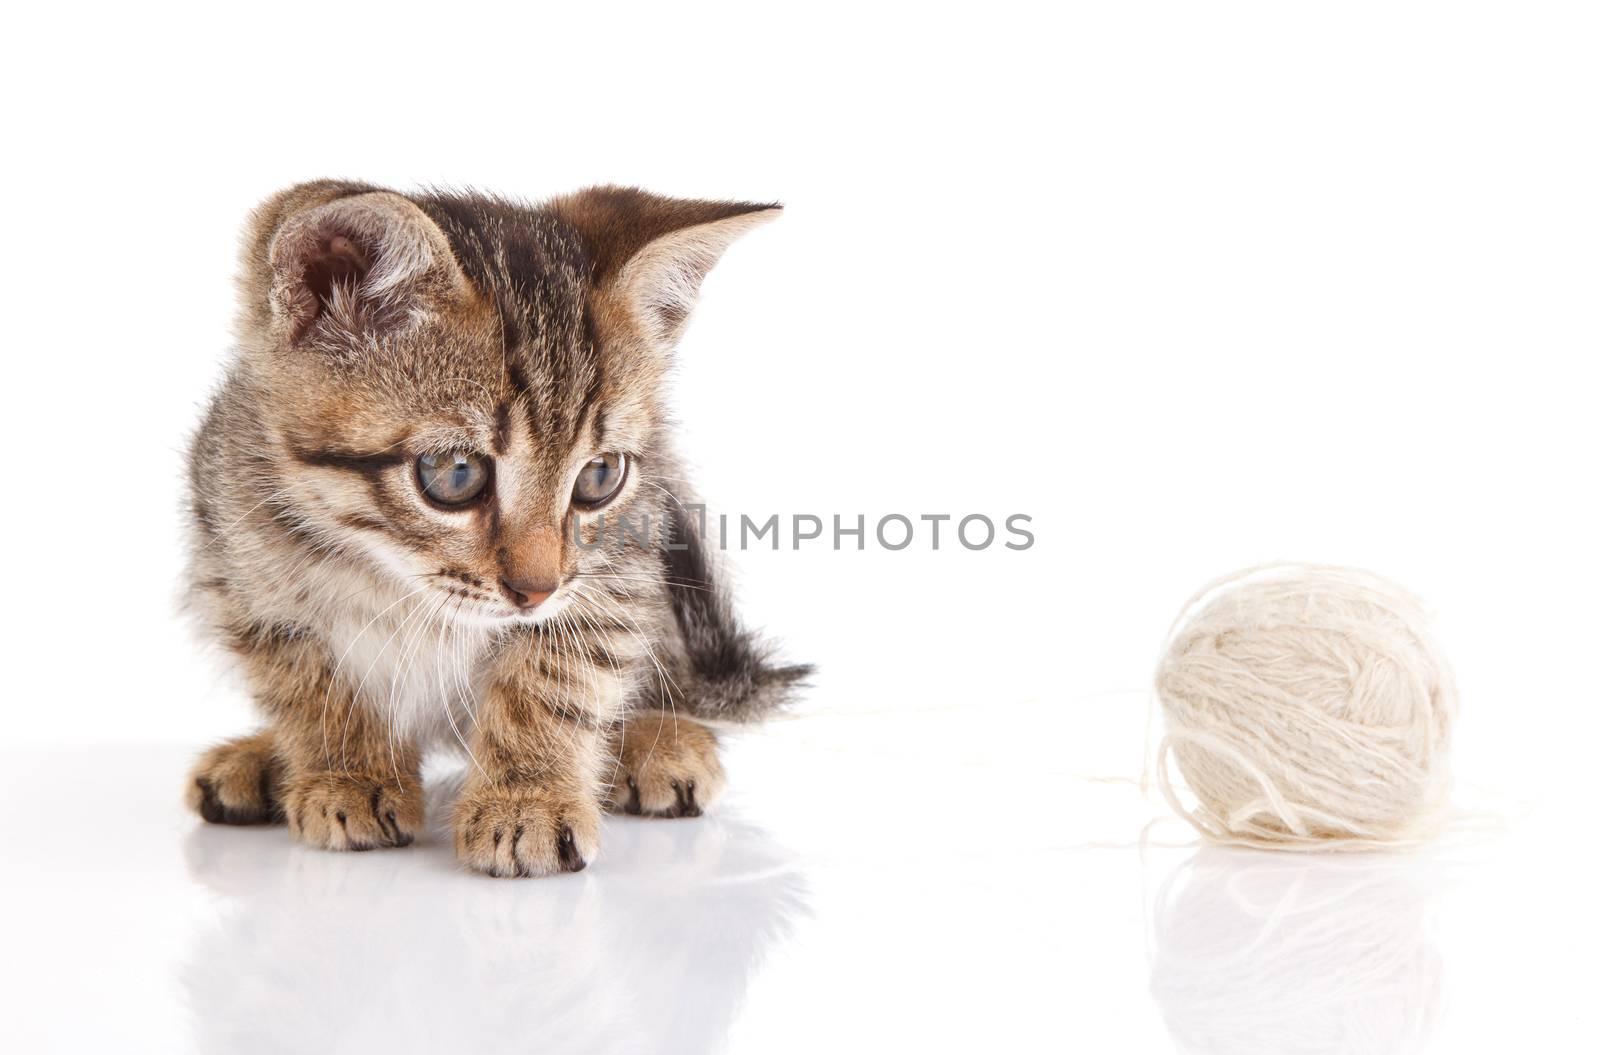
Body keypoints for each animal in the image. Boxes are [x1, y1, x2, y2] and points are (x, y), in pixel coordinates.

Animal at [185, 181, 806, 877]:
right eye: (454, 473)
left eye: (600, 476)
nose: (535, 591)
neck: (391, 572)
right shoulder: (238, 569)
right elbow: (305, 682)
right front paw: (350, 774)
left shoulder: (614, 570)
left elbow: (559, 676)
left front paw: (528, 798)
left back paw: (655, 738)